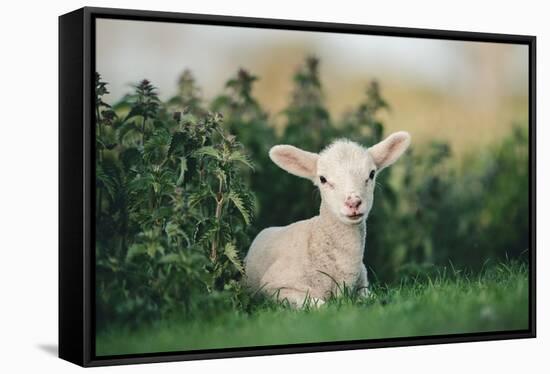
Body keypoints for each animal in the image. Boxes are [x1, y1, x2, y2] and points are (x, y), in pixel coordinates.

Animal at [244, 131, 412, 306]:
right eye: (323, 179)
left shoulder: (364, 288)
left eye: (371, 174)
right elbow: (321, 306)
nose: (353, 203)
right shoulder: (274, 286)